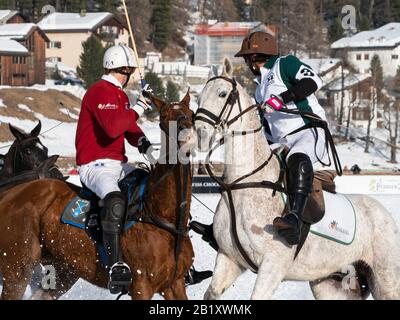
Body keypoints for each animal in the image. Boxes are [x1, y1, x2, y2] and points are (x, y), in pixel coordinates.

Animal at [0, 92, 197, 300]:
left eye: (191, 113)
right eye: (164, 118)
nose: (188, 136)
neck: (162, 215)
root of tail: (10, 192)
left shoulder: (175, 283)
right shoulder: (141, 286)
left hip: (63, 270)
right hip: (16, 269)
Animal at [195, 58, 400, 300]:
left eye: (222, 93)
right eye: (199, 96)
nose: (199, 134)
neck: (242, 184)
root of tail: (385, 214)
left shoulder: (273, 264)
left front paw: (274, 102)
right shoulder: (228, 258)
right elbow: (211, 294)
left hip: (386, 281)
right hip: (331, 283)